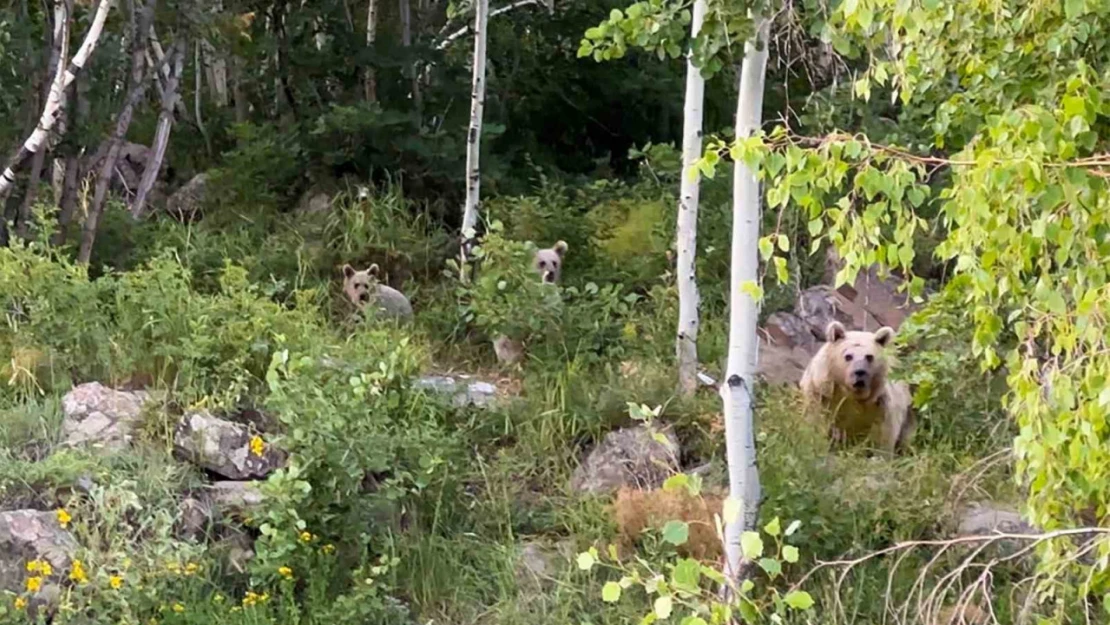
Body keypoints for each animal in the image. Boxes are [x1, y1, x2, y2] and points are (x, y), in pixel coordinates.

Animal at [803, 321, 914, 455]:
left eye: (869, 356)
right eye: (848, 356)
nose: (860, 372)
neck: (851, 393)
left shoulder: (880, 403)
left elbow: (884, 434)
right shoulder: (822, 392)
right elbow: (815, 420)